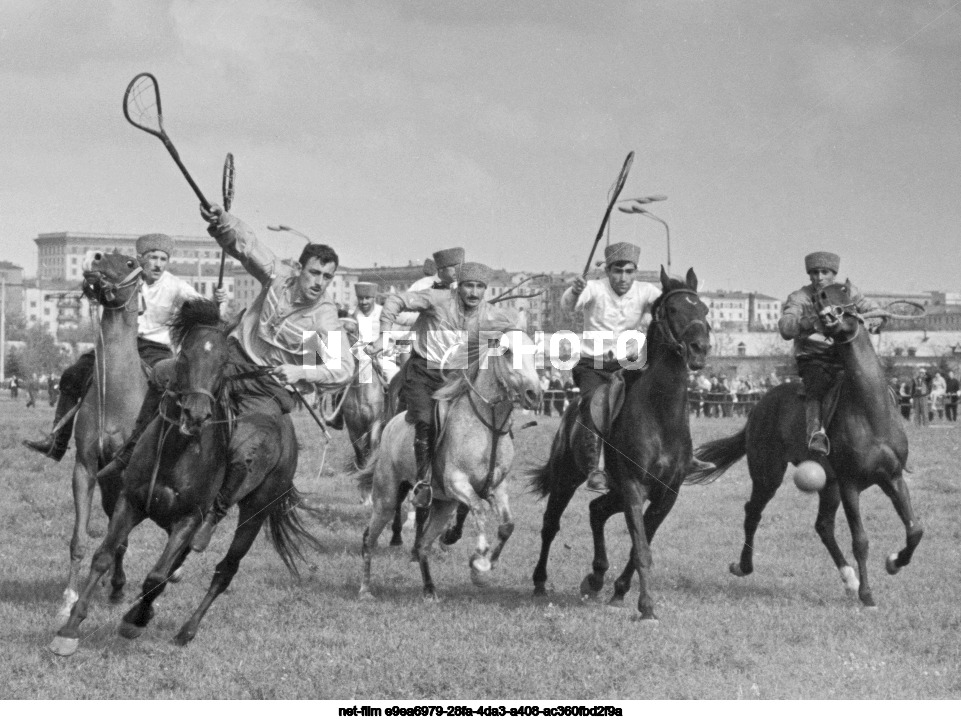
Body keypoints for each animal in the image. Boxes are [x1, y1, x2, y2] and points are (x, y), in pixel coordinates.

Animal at [51, 296, 322, 656]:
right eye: (184, 357)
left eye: (223, 362)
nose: (196, 413)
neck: (176, 453)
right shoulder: (130, 502)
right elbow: (105, 556)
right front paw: (70, 628)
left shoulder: (188, 519)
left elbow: (156, 576)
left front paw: (135, 620)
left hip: (254, 511)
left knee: (224, 570)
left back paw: (185, 630)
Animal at [358, 330, 544, 600]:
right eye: (507, 352)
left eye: (536, 353)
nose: (534, 394)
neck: (488, 426)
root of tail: (390, 424)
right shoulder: (457, 483)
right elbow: (479, 510)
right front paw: (479, 563)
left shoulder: (498, 488)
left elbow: (507, 525)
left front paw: (488, 566)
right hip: (386, 499)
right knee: (368, 539)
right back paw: (365, 589)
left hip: (443, 506)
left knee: (423, 544)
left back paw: (430, 589)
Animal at [528, 268, 708, 620]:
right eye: (673, 309)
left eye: (704, 309)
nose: (700, 349)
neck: (660, 413)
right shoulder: (634, 486)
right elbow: (641, 547)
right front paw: (647, 605)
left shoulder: (666, 493)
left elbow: (641, 542)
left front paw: (621, 590)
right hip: (567, 479)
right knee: (550, 524)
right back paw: (541, 581)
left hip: (615, 491)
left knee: (596, 510)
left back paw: (596, 577)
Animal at [688, 278, 924, 604]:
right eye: (819, 298)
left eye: (846, 295)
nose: (827, 314)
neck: (870, 409)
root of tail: (759, 407)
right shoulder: (850, 484)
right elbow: (860, 540)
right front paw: (867, 594)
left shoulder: (892, 477)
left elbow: (915, 530)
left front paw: (893, 563)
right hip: (769, 474)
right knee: (753, 512)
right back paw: (743, 566)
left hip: (828, 485)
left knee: (822, 526)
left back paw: (848, 577)